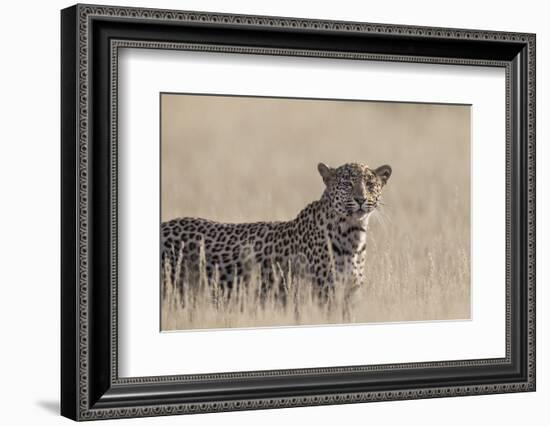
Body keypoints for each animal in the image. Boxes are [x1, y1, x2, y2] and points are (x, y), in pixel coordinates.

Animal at [160, 162, 392, 306]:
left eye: (370, 184)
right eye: (347, 184)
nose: (361, 199)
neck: (353, 234)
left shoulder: (349, 295)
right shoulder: (323, 295)